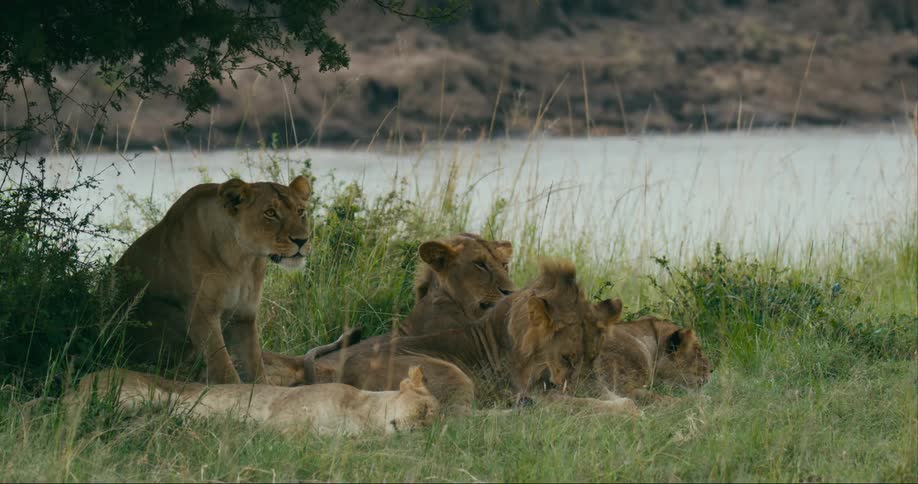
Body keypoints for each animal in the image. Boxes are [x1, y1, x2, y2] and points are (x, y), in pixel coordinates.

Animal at [117, 176, 332, 385]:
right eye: (270, 213)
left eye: (300, 211)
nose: (302, 240)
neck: (241, 259)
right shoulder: (202, 313)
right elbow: (225, 369)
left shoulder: (244, 315)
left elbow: (256, 368)